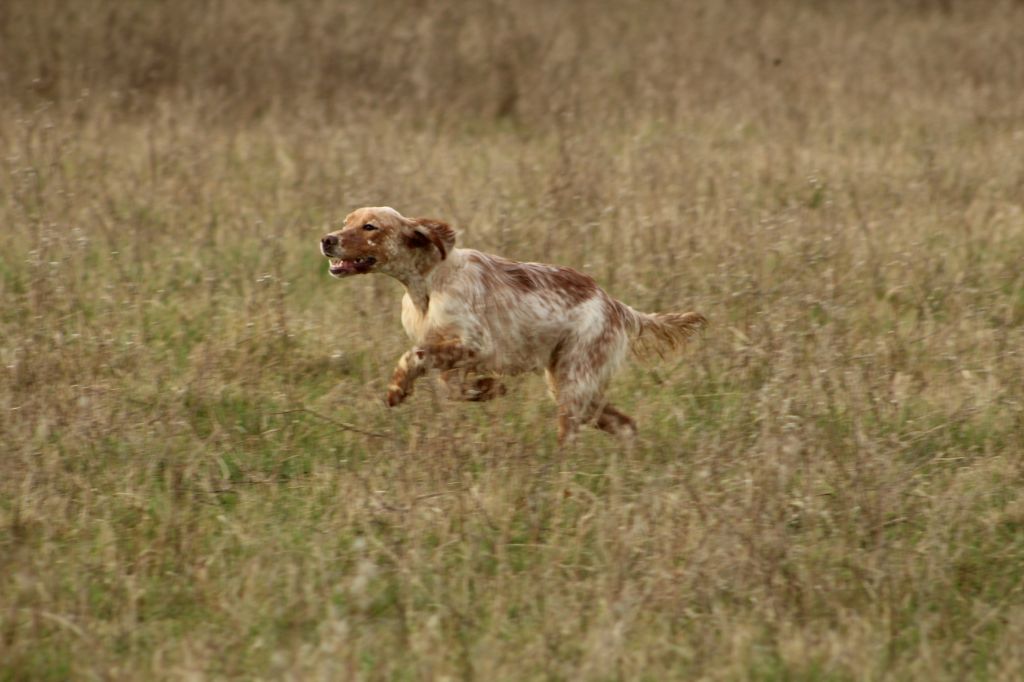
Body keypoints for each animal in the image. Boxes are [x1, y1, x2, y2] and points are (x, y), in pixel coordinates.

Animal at [319, 204, 704, 444]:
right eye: (346, 221)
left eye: (370, 226)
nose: (327, 240)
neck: (428, 281)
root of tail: (616, 305)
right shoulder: (453, 356)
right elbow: (451, 385)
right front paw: (489, 389)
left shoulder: (476, 344)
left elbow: (415, 354)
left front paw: (398, 388)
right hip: (572, 385)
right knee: (626, 425)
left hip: (574, 384)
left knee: (577, 434)